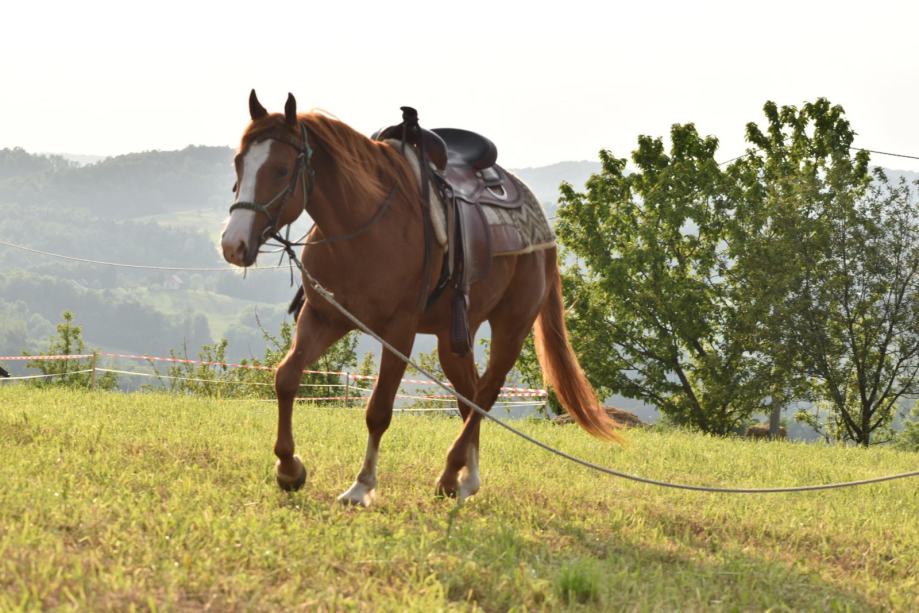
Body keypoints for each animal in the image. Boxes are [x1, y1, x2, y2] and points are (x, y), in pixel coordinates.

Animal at [220, 90, 620, 506]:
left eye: (281, 170)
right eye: (239, 163)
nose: (233, 244)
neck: (363, 226)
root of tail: (544, 231)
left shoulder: (400, 330)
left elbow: (379, 410)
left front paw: (362, 485)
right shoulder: (324, 316)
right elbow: (286, 377)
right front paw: (289, 469)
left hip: (512, 325)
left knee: (487, 393)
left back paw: (449, 474)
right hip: (453, 335)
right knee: (469, 393)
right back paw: (465, 478)